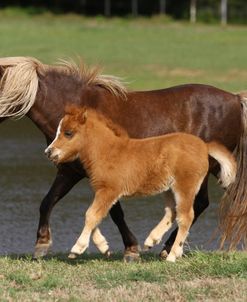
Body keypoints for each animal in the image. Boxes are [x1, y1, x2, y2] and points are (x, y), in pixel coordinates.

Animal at [45, 106, 236, 262]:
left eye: (68, 133)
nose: (48, 152)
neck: (108, 151)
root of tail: (205, 146)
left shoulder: (109, 190)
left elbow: (91, 215)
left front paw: (77, 248)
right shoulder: (103, 191)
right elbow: (96, 215)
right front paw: (104, 246)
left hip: (184, 186)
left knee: (186, 216)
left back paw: (173, 255)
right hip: (169, 188)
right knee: (172, 212)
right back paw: (151, 240)